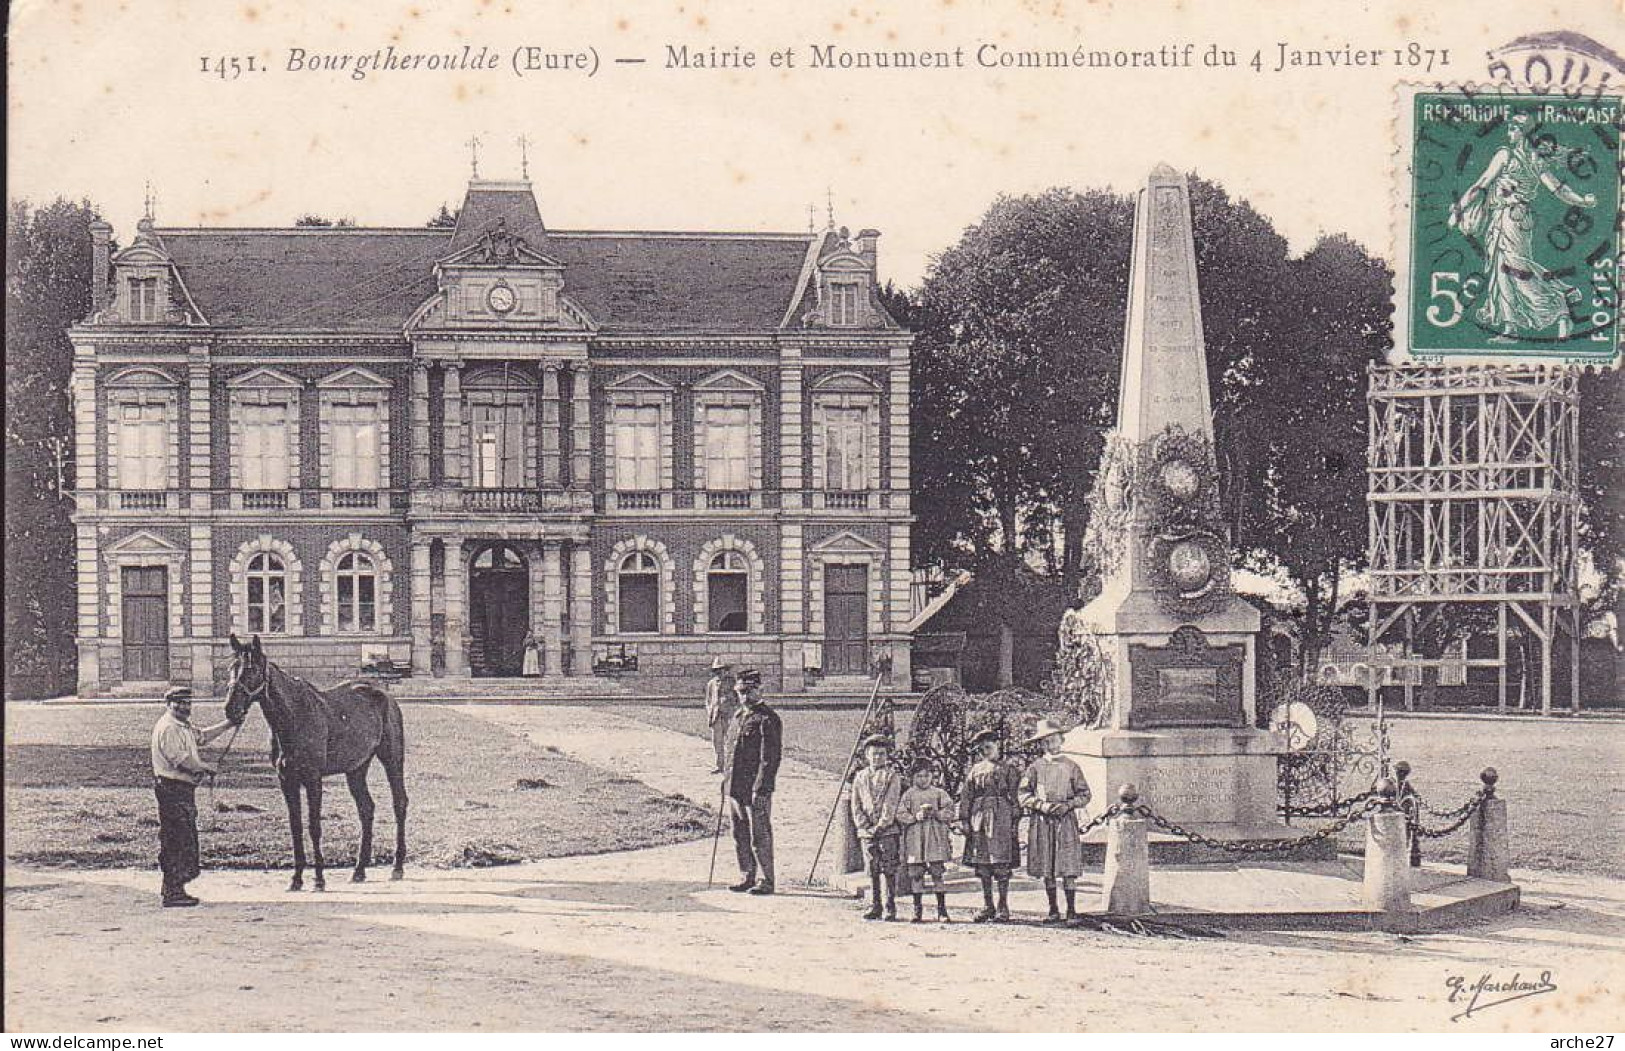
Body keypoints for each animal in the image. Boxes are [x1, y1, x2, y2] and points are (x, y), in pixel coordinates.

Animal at [225, 636, 409, 890]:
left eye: (250, 669)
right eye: (231, 668)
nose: (230, 710)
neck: (293, 716)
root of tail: (386, 696)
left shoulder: (313, 780)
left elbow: (314, 826)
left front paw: (319, 878)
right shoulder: (287, 781)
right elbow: (295, 827)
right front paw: (296, 878)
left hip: (392, 759)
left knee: (399, 803)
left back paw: (397, 866)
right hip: (356, 769)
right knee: (366, 809)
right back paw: (359, 870)